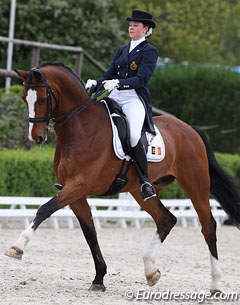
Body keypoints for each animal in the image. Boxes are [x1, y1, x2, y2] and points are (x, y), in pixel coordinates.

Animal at [6, 61, 239, 292]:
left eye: (42, 98)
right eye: (24, 97)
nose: (36, 137)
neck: (82, 128)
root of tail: (190, 129)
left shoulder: (79, 185)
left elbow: (44, 209)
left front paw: (17, 247)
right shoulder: (75, 193)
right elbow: (89, 232)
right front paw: (99, 278)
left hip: (195, 185)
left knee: (208, 226)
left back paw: (215, 283)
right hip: (140, 190)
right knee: (166, 220)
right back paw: (150, 271)